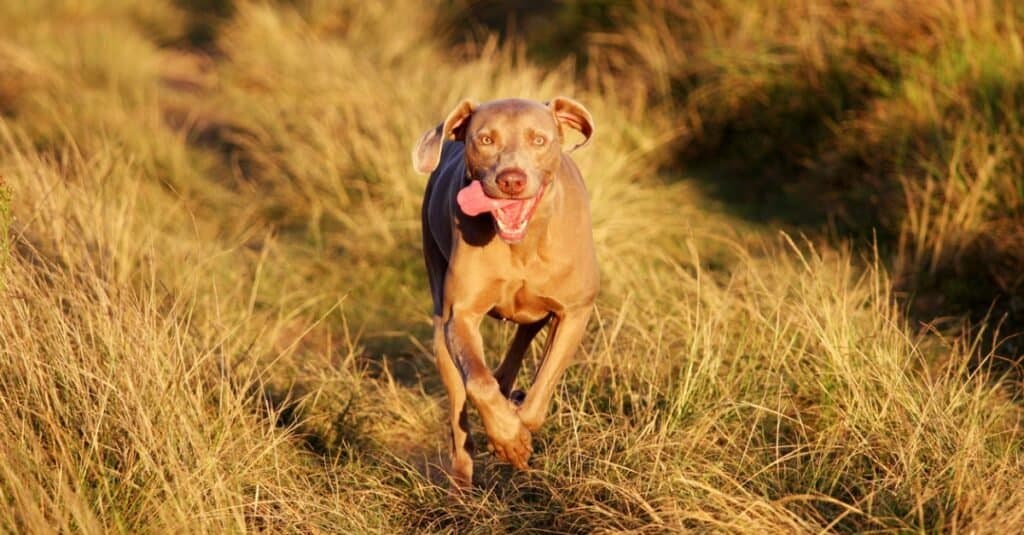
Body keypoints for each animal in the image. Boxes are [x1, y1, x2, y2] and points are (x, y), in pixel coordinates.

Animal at [409, 97, 598, 485]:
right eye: (485, 140)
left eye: (538, 140)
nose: (511, 179)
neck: (521, 244)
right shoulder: (461, 315)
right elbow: (478, 383)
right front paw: (508, 438)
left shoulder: (576, 311)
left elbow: (541, 392)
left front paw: (515, 428)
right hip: (439, 323)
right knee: (460, 409)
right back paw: (462, 484)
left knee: (525, 338)